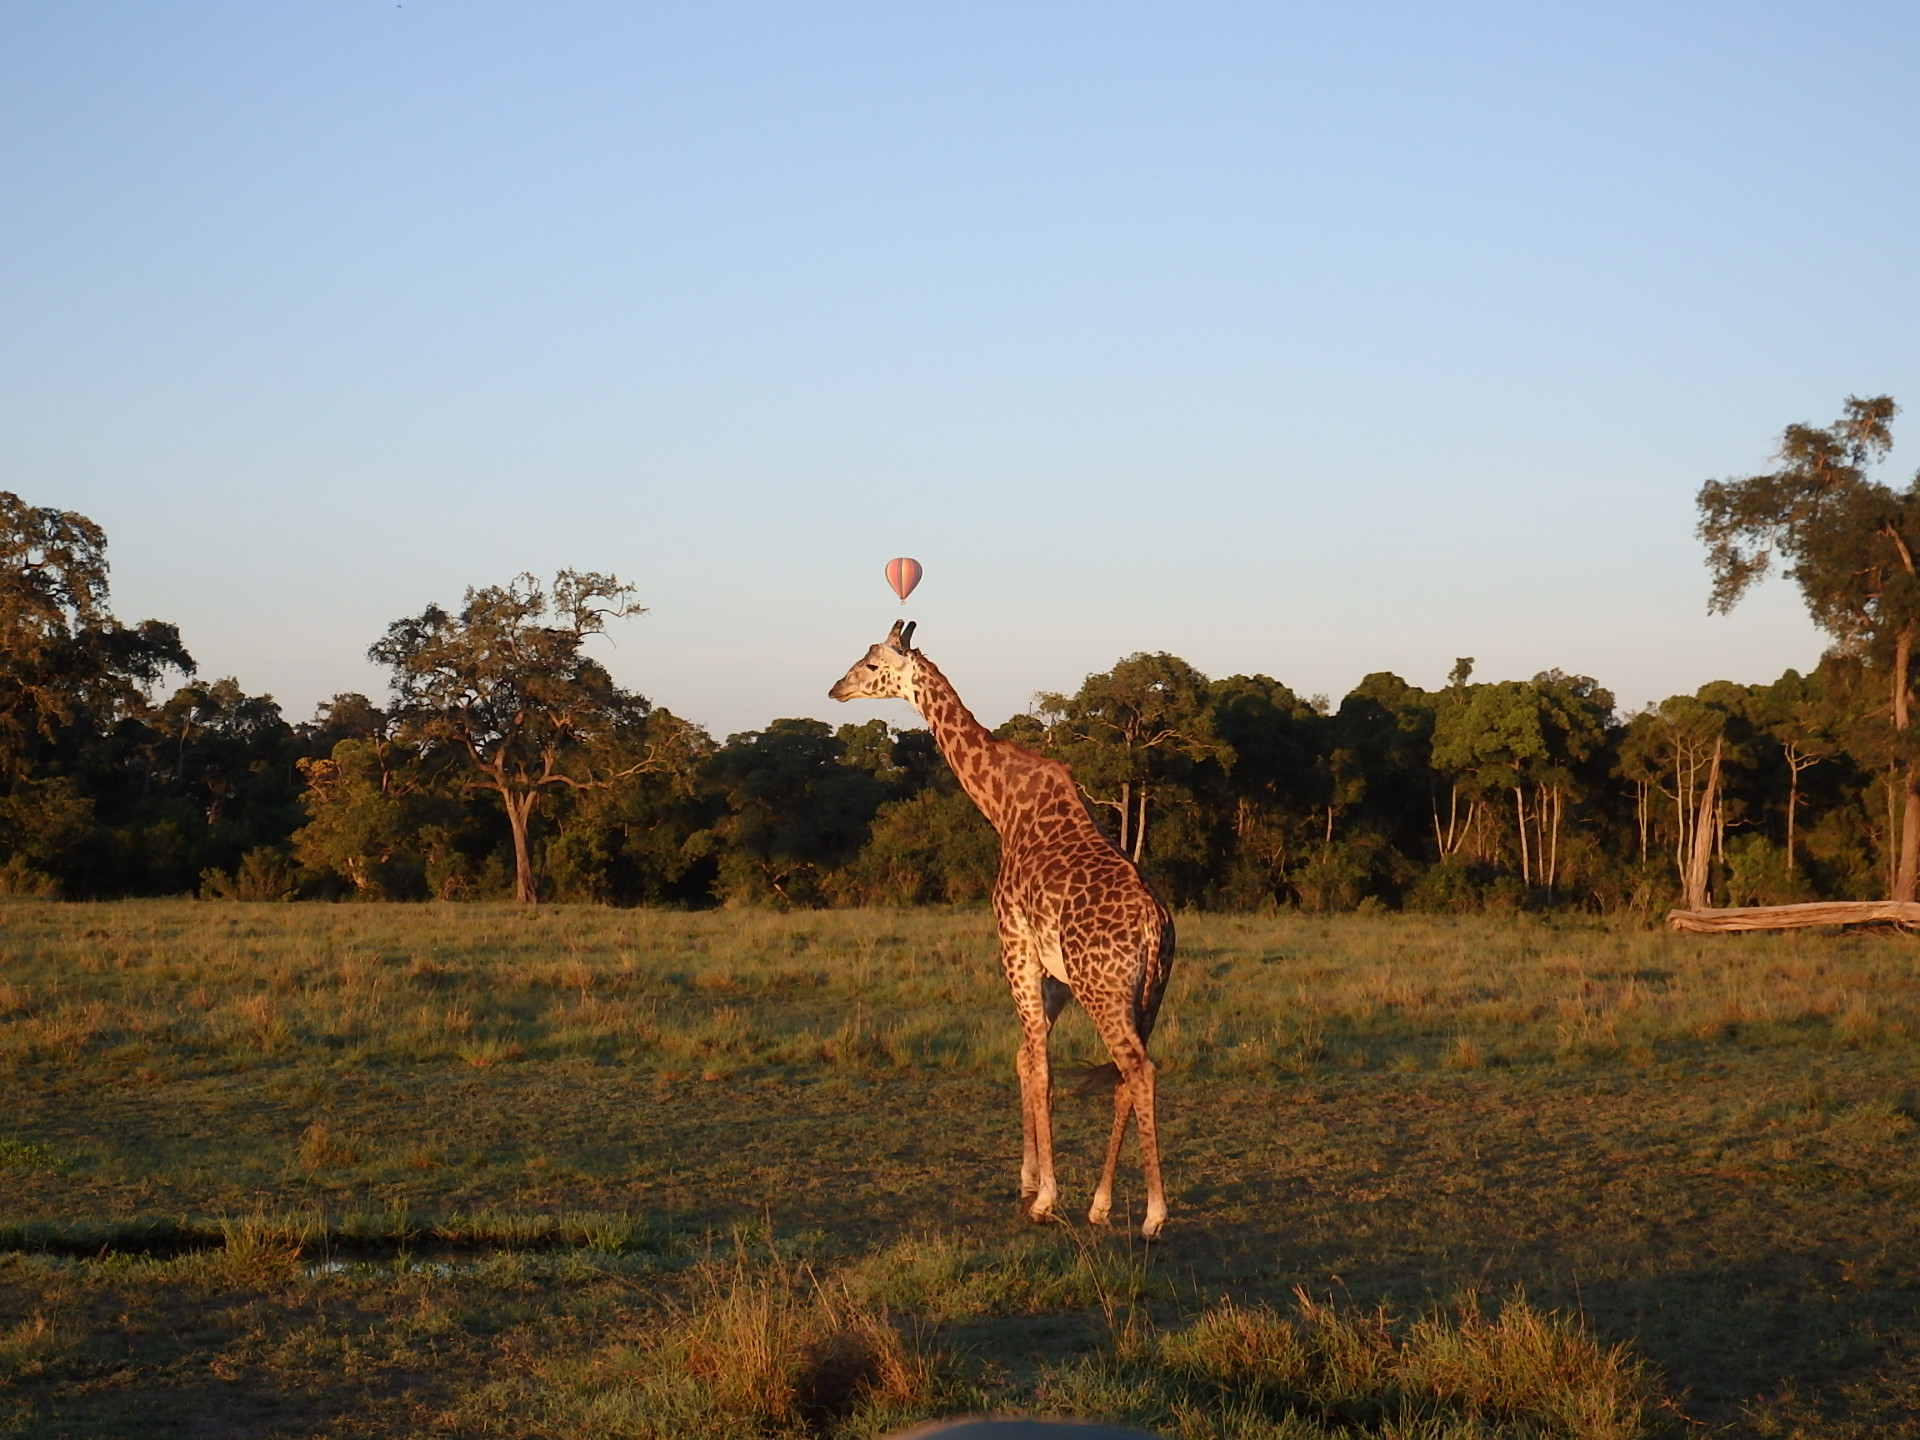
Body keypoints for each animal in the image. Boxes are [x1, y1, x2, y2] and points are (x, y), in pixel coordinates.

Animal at [830, 620, 1176, 1239]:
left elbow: (1039, 1067)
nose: (835, 689)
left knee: (1138, 1068)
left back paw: (1154, 1215)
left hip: (1104, 988)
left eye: (871, 666)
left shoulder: (1013, 942)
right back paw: (1101, 1204)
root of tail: (1156, 926)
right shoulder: (1054, 972)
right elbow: (1025, 1057)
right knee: (1124, 1075)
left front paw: (1045, 1197)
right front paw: (1032, 1181)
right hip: (1144, 994)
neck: (1003, 806)